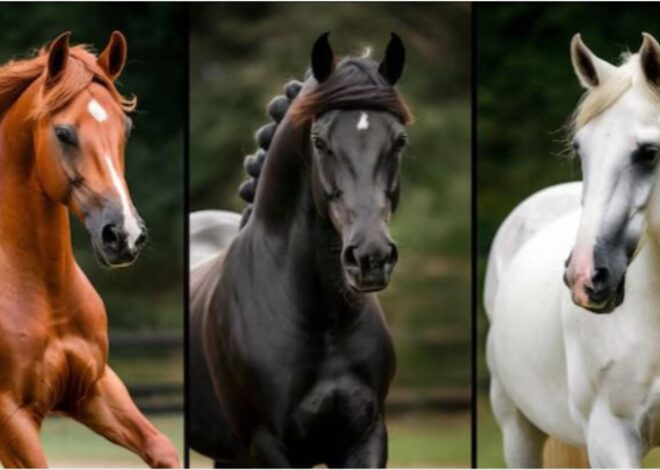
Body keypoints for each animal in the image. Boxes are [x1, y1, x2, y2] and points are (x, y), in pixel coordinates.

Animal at [0, 32, 179, 468]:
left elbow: (162, 448)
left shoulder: (95, 387)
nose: (124, 235)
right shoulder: (11, 416)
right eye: (63, 133)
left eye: (125, 128)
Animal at [189, 32, 412, 467]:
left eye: (399, 140)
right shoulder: (270, 445)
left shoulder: (366, 438)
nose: (371, 257)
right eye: (319, 141)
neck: (324, 323)